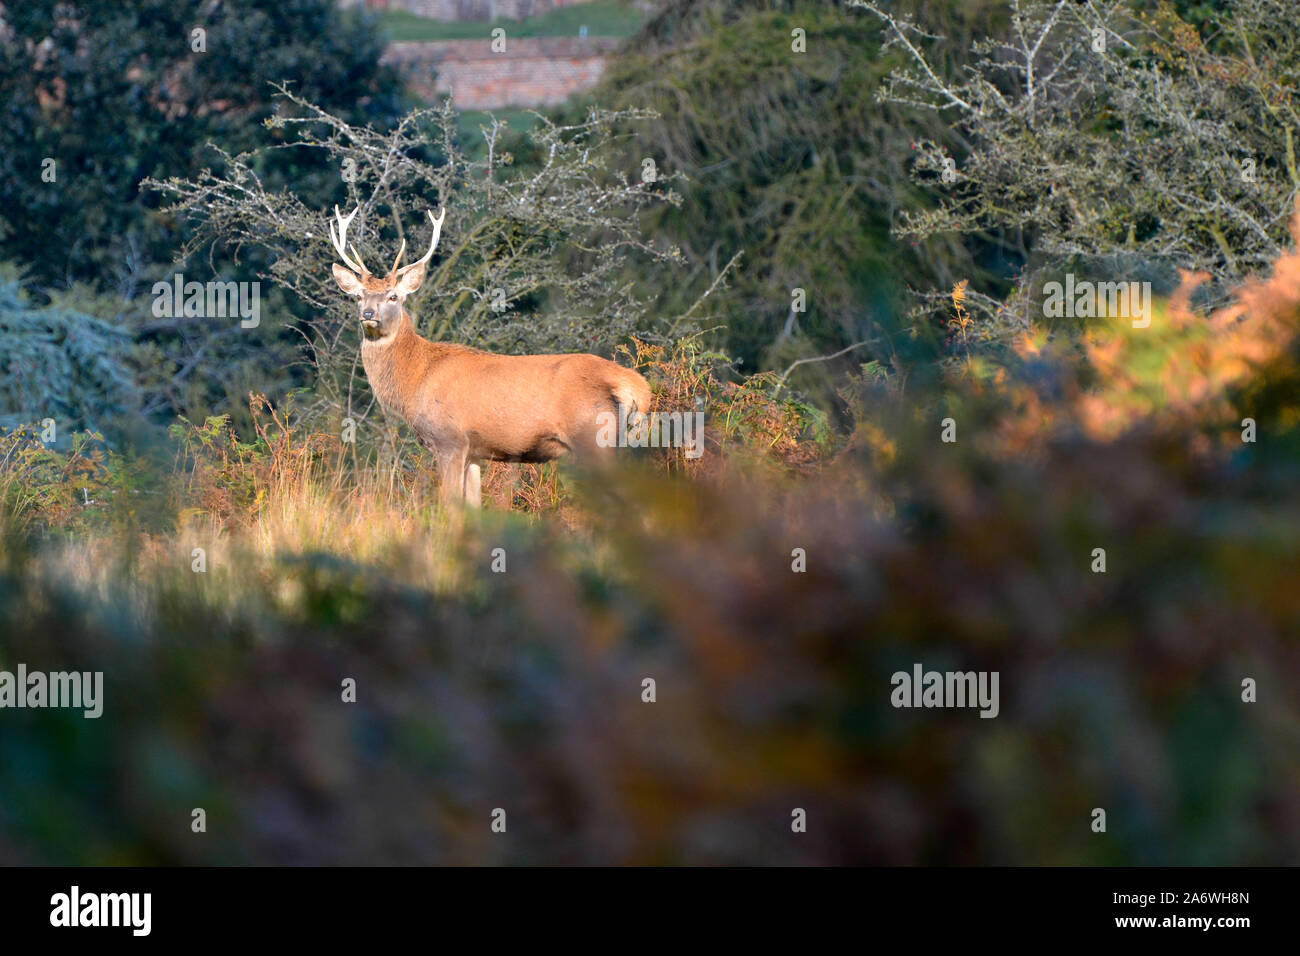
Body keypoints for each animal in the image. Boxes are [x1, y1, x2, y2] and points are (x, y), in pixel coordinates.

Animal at [328, 205, 652, 508]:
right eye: (359, 296)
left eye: (393, 296)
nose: (368, 314)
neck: (416, 377)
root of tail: (637, 387)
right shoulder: (475, 452)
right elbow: (472, 506)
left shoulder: (450, 439)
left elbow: (450, 506)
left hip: (595, 438)